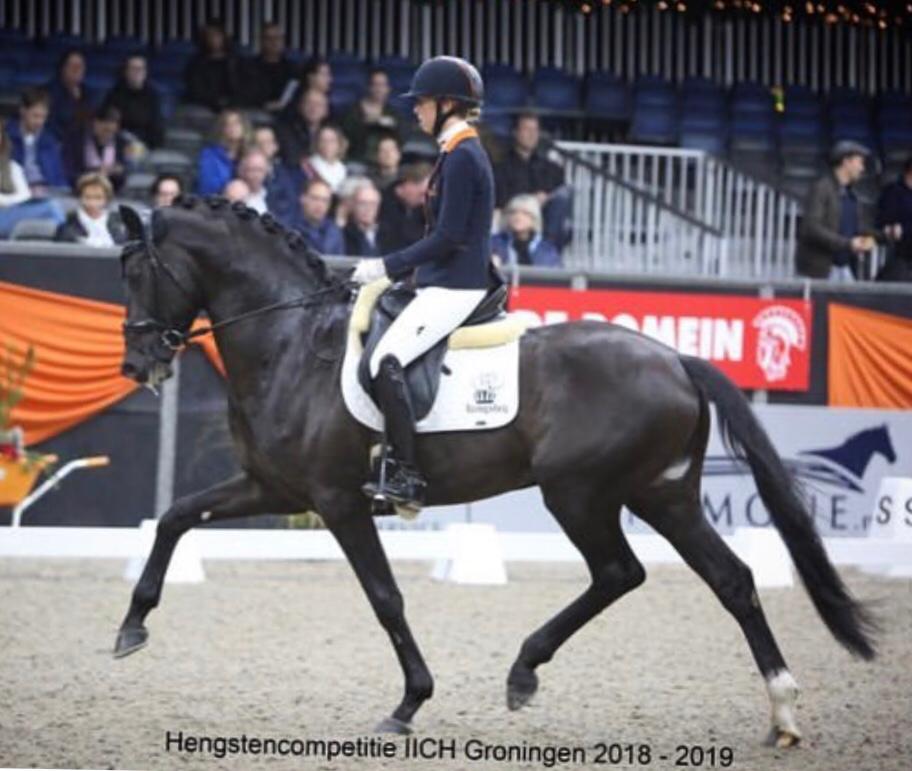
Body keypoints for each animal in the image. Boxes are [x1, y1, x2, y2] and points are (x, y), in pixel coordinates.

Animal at [114, 196, 876, 744]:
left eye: (137, 273)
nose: (136, 365)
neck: (293, 343)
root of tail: (675, 359)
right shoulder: (273, 485)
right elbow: (175, 517)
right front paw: (131, 628)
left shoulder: (337, 499)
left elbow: (385, 597)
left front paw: (408, 704)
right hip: (663, 495)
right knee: (729, 580)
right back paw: (781, 713)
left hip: (580, 493)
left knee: (620, 571)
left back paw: (525, 670)